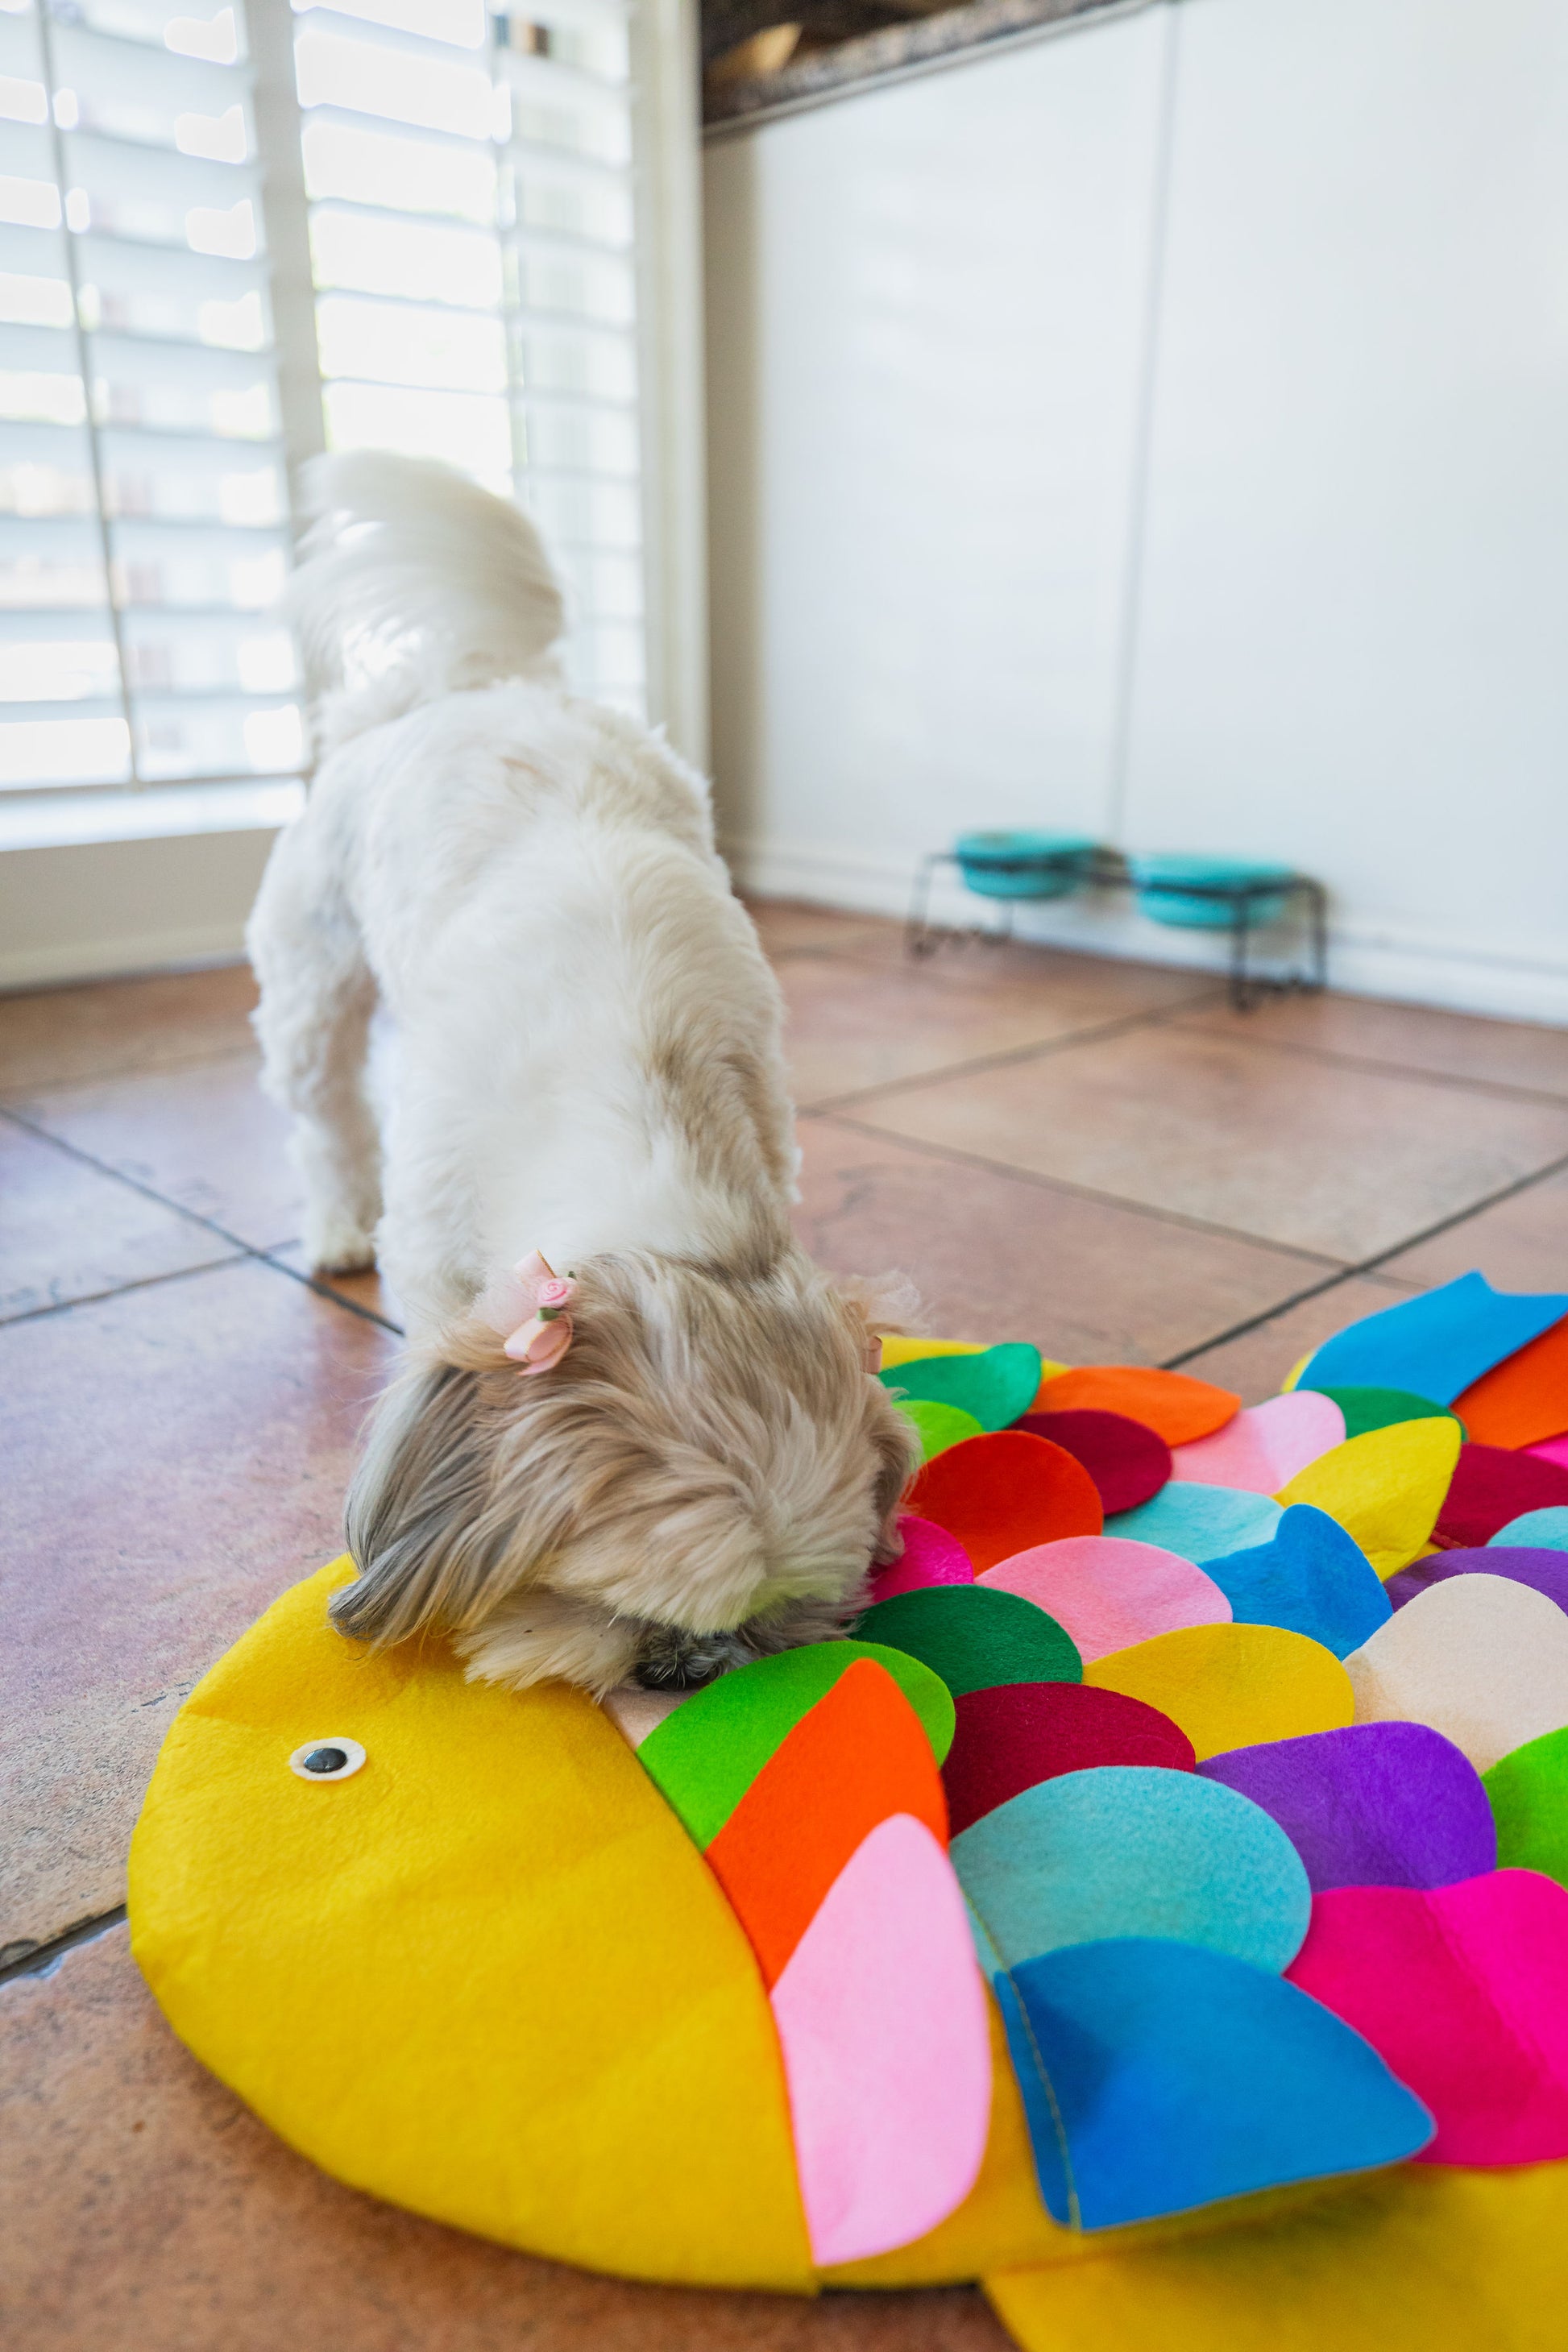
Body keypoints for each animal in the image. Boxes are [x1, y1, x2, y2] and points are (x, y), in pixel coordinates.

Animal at [239, 454, 912, 1693]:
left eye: (784, 1618)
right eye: (622, 1602)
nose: (688, 1664)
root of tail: (464, 685)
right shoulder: (442, 1252)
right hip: (312, 974)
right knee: (324, 1112)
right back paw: (333, 1221)